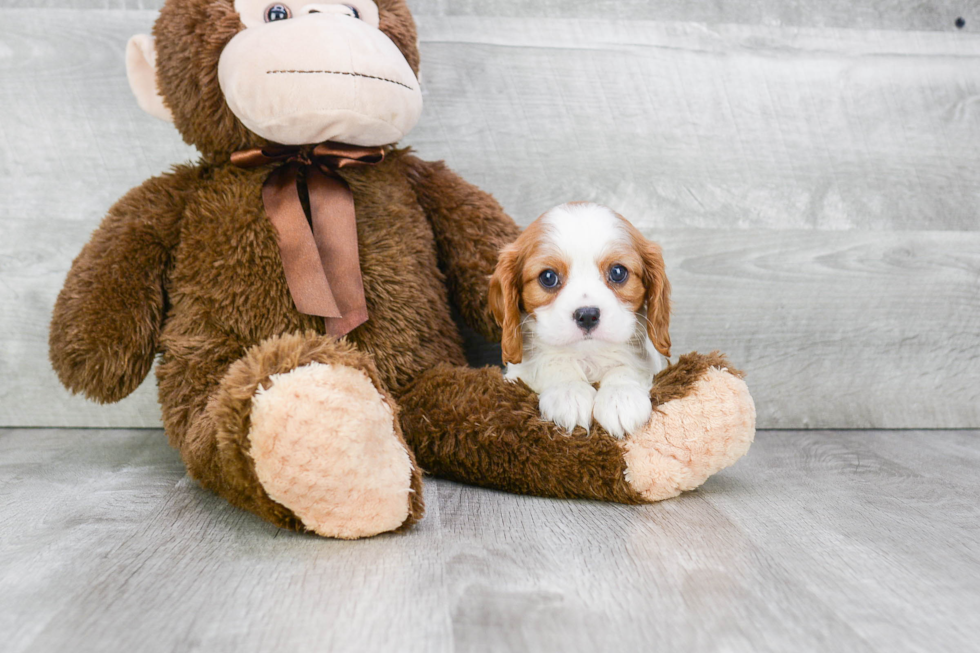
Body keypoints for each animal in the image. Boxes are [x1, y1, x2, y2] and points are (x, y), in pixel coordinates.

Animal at [486, 204, 668, 438]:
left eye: (618, 272)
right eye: (548, 277)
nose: (588, 315)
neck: (587, 355)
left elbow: (627, 367)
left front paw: (621, 395)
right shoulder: (518, 375)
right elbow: (552, 365)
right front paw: (568, 391)